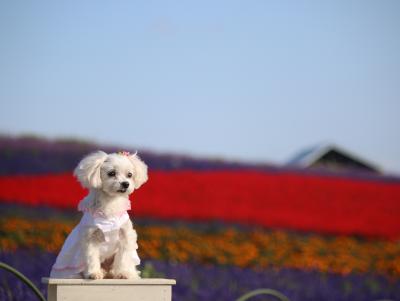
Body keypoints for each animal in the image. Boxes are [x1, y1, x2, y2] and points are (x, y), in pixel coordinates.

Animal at [50, 150, 148, 278]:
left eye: (130, 175)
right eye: (112, 173)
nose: (126, 184)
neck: (110, 204)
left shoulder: (125, 235)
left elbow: (123, 256)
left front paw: (122, 273)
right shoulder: (90, 237)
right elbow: (91, 257)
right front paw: (93, 273)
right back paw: (100, 272)